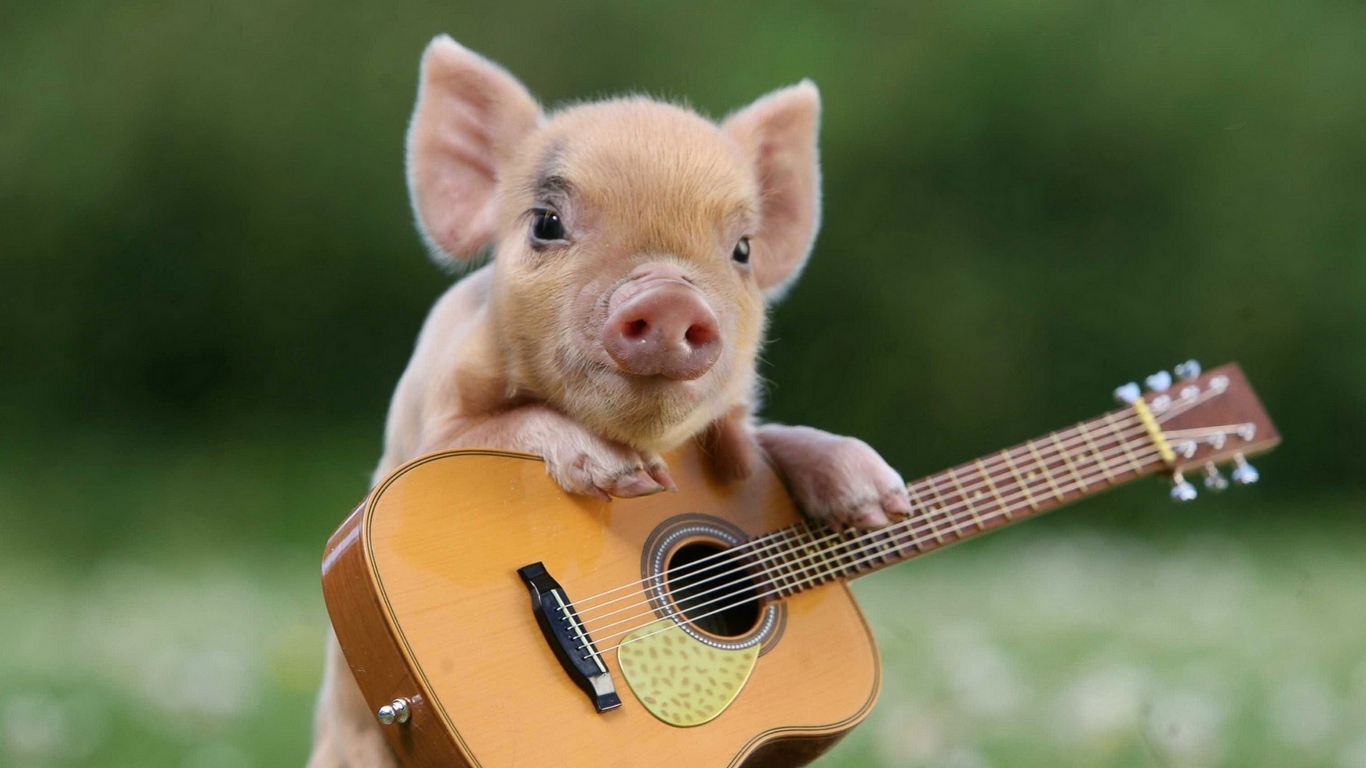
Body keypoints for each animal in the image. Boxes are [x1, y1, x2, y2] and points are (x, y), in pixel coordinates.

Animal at [306, 35, 912, 768]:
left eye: (743, 249)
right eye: (546, 223)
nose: (671, 296)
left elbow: (767, 440)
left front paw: (879, 499)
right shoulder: (419, 433)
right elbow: (499, 426)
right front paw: (622, 474)